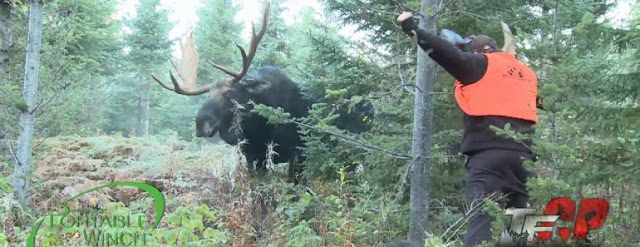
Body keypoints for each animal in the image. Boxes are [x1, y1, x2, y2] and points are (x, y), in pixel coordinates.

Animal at [152, 1, 376, 182]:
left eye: (229, 94)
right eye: (207, 95)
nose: (201, 124)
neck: (258, 127)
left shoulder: (298, 153)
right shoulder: (253, 156)